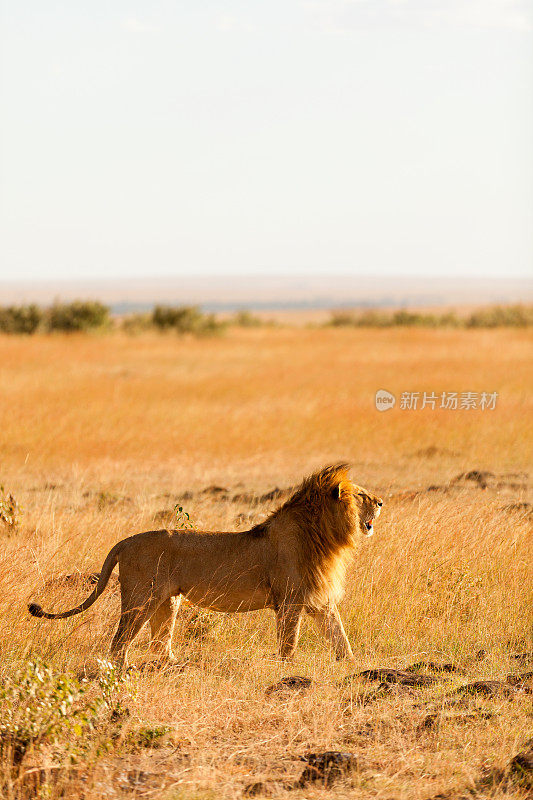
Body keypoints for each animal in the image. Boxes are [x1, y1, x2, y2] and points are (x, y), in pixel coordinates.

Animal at [28, 462, 382, 664]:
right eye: (362, 494)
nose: (381, 502)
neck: (325, 536)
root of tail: (125, 541)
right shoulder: (290, 600)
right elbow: (289, 643)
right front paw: (287, 670)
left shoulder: (320, 601)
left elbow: (340, 637)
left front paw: (352, 665)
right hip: (141, 599)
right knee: (119, 643)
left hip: (167, 601)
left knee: (159, 644)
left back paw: (175, 665)